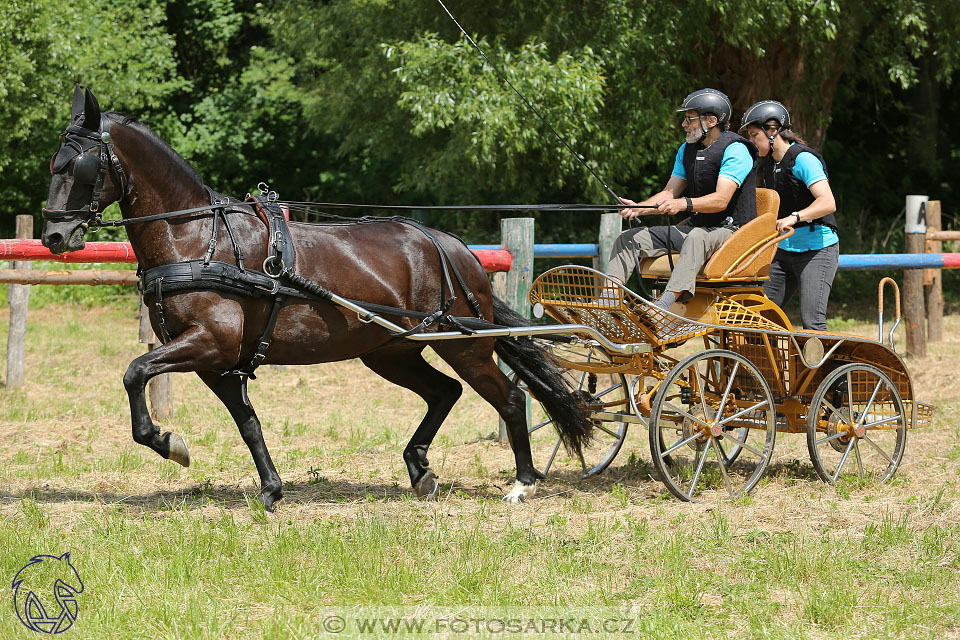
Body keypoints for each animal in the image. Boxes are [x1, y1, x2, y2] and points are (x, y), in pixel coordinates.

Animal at [41, 89, 588, 510]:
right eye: (54, 163)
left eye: (79, 165)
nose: (54, 235)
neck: (197, 238)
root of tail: (454, 247)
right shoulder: (217, 361)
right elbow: (248, 423)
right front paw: (270, 489)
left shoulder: (210, 343)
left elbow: (134, 372)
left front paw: (167, 441)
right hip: (391, 352)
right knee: (444, 393)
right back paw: (420, 470)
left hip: (463, 343)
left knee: (510, 397)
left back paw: (521, 484)